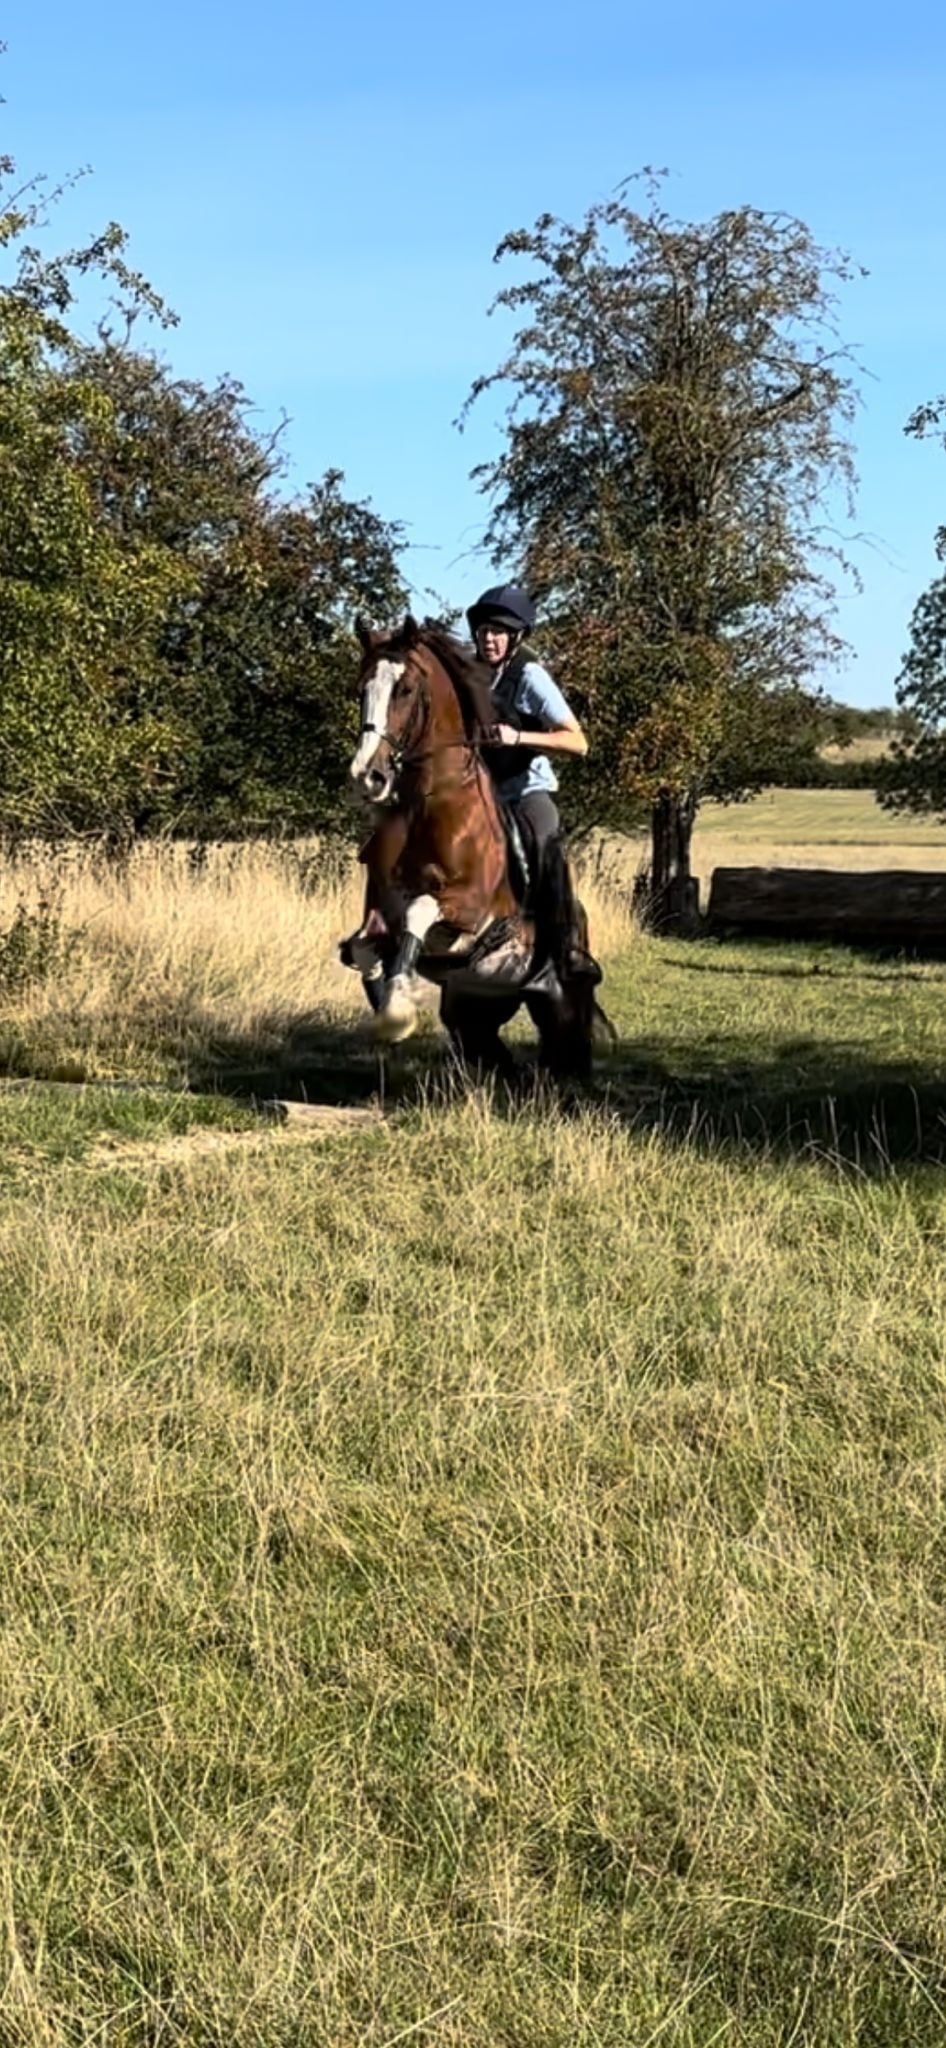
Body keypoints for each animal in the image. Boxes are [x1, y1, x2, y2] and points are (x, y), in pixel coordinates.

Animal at [340, 615, 604, 1082]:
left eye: (404, 689)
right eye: (360, 690)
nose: (367, 777)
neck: (427, 804)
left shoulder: (471, 909)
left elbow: (419, 909)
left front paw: (397, 1011)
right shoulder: (379, 910)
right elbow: (362, 945)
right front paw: (388, 1005)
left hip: (558, 993)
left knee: (565, 1040)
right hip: (474, 1000)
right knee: (484, 1044)